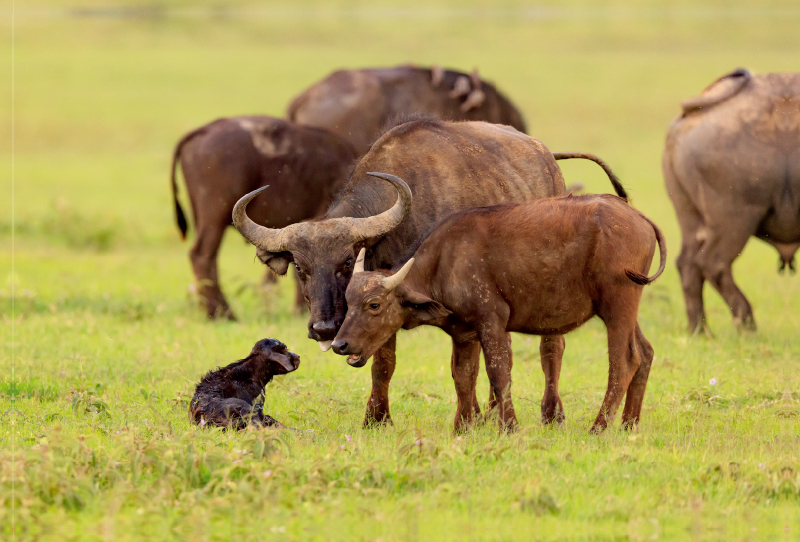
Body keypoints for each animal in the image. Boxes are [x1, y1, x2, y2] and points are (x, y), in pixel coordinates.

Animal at [231, 119, 624, 430]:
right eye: (300, 267)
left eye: (346, 261)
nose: (324, 328)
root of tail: (546, 157)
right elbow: (384, 363)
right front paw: (377, 418)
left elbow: (466, 365)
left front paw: (470, 418)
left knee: (551, 347)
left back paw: (551, 414)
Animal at [328, 194, 664, 434]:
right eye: (348, 300)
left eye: (374, 304)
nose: (339, 345)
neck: (444, 261)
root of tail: (639, 217)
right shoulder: (463, 333)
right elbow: (463, 375)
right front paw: (463, 427)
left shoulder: (492, 323)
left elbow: (498, 372)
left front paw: (509, 426)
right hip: (624, 311)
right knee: (646, 353)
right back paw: (628, 425)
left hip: (617, 306)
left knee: (624, 361)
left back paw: (599, 427)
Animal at [664, 70, 800, 334]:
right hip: (736, 219)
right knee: (712, 263)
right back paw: (747, 326)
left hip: (689, 217)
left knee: (688, 264)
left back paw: (700, 331)